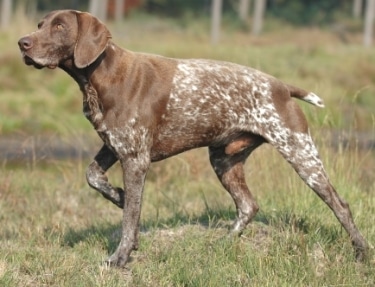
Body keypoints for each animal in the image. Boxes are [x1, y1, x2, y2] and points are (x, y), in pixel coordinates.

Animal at [16, 10, 368, 268]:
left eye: (59, 26)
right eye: (40, 25)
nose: (22, 43)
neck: (100, 75)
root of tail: (281, 86)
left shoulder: (135, 159)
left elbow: (130, 219)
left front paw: (121, 256)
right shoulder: (114, 145)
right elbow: (94, 177)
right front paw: (118, 196)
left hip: (301, 155)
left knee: (340, 205)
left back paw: (361, 251)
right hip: (224, 160)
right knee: (248, 205)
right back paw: (224, 243)